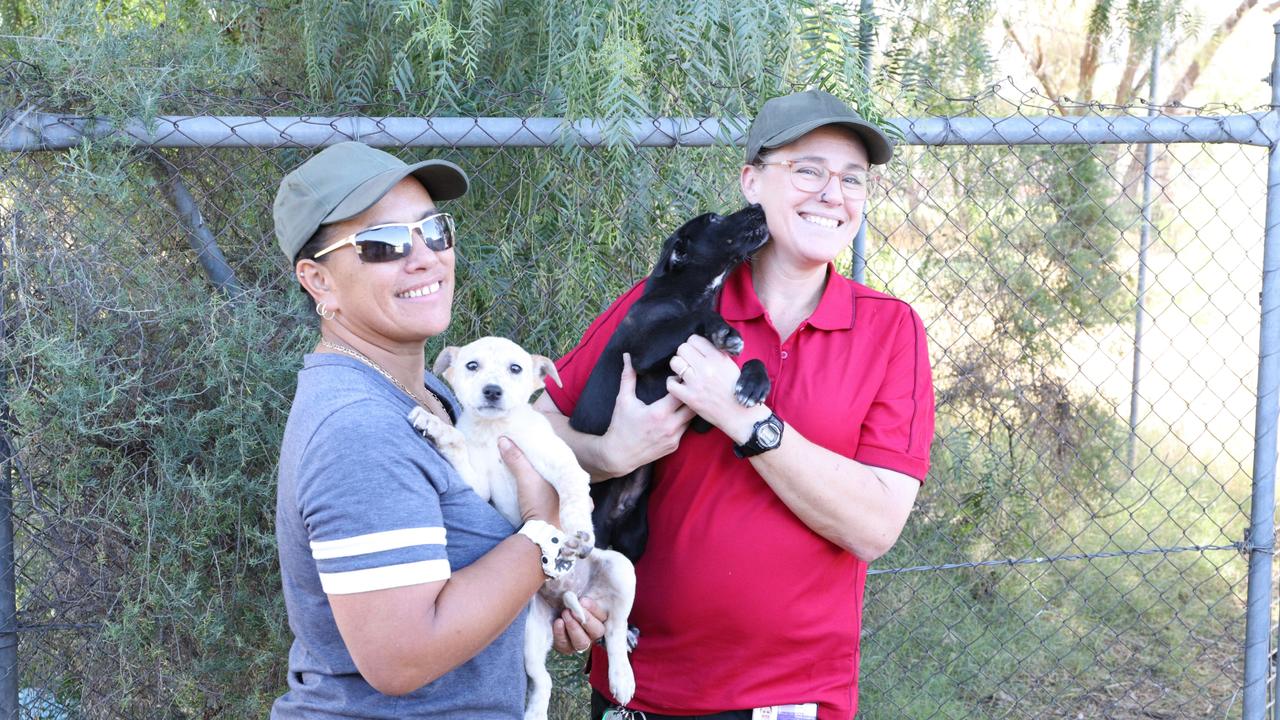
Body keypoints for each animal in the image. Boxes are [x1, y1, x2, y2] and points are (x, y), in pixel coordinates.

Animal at [412, 335, 637, 717]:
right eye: (472, 365)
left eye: (515, 368)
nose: (492, 391)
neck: (496, 431)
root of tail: (572, 597)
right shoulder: (477, 485)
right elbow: (458, 447)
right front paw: (435, 426)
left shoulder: (564, 467)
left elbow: (573, 499)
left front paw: (578, 534)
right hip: (532, 633)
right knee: (543, 680)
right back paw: (534, 711)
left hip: (622, 570)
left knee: (617, 631)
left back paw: (622, 678)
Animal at [570, 202, 768, 561]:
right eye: (714, 219)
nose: (759, 206)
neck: (684, 295)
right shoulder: (642, 351)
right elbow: (697, 320)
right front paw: (722, 330)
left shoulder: (702, 415)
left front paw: (754, 383)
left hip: (636, 540)